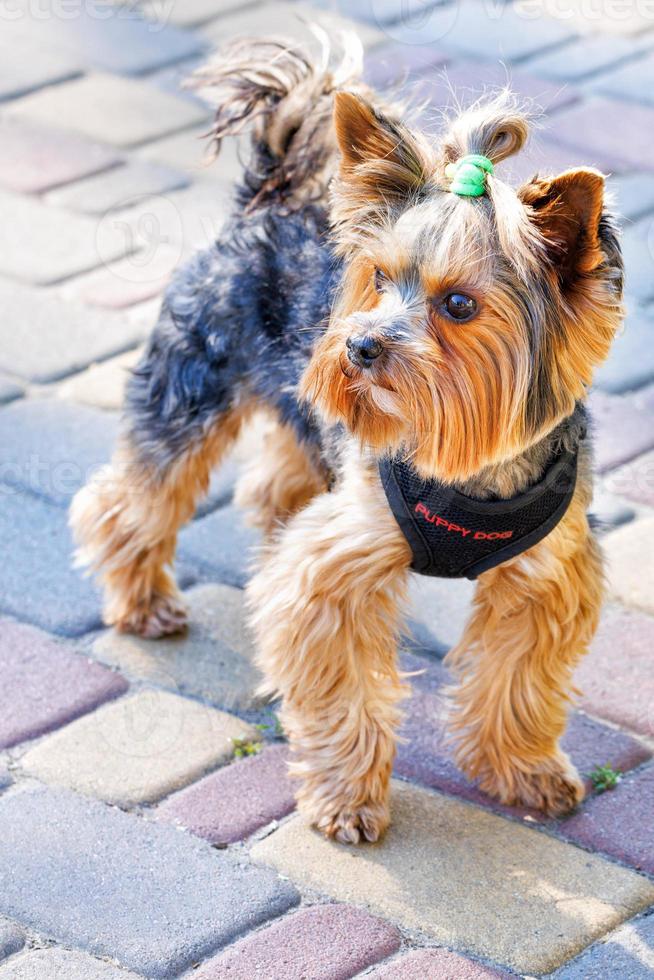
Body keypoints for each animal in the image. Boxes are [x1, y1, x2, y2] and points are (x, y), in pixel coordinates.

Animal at [72, 32, 624, 844]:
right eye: (379, 279)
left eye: (460, 305)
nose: (360, 346)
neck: (460, 465)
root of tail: (267, 198)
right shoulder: (339, 567)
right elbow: (342, 684)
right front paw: (347, 800)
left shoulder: (545, 574)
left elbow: (519, 678)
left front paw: (523, 770)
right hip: (189, 383)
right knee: (136, 496)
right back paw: (142, 601)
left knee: (273, 485)